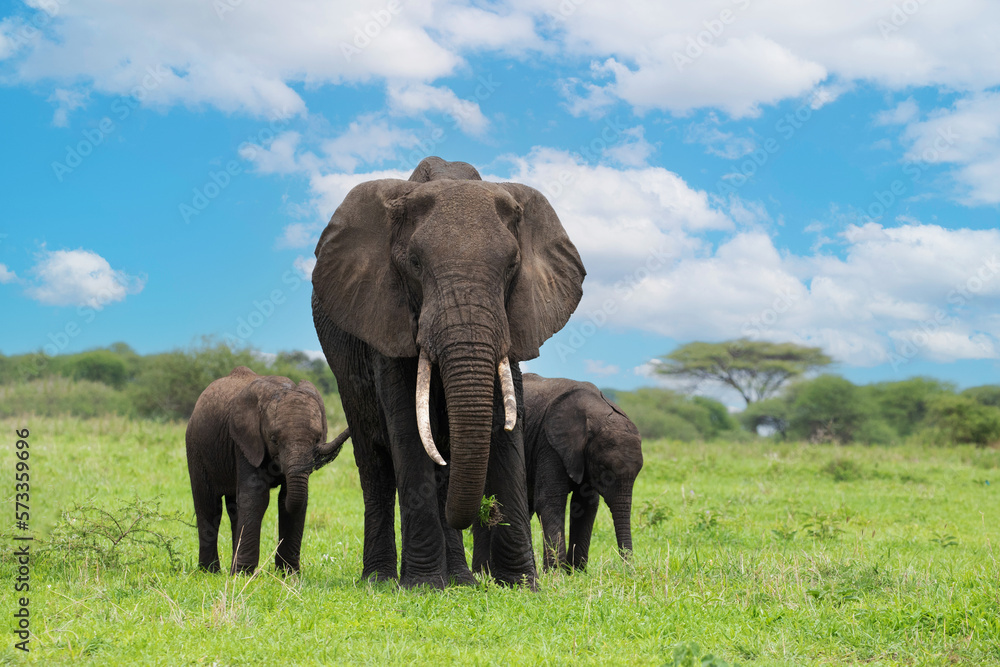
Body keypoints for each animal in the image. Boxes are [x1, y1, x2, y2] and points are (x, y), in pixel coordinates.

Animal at [185, 366, 350, 574]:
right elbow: (256, 496)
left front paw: (289, 574)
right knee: (209, 506)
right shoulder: (245, 441)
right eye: (273, 440)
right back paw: (210, 571)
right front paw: (243, 574)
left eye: (317, 438)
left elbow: (290, 499)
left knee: (234, 508)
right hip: (196, 448)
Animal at [311, 156, 585, 589]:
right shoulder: (387, 318)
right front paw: (422, 586)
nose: (488, 512)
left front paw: (521, 585)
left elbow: (502, 426)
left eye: (512, 266)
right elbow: (409, 429)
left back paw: (460, 580)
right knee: (375, 466)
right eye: (415, 264)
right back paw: (381, 580)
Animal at [473, 374, 642, 572]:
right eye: (603, 471)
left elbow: (587, 505)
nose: (627, 569)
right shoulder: (550, 443)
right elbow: (550, 502)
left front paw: (577, 572)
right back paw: (482, 573)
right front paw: (557, 573)